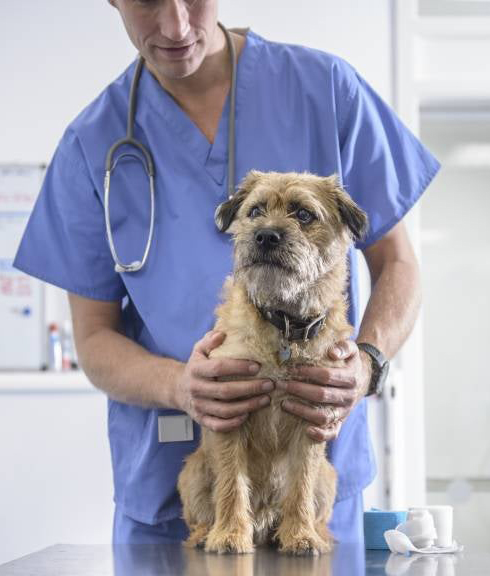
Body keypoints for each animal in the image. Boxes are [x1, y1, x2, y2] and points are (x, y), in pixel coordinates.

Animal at [177, 170, 368, 552]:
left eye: (304, 214)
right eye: (255, 211)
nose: (265, 235)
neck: (284, 324)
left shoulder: (312, 418)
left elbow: (300, 485)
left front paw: (301, 534)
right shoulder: (230, 412)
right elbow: (231, 484)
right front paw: (230, 534)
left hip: (329, 477)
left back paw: (315, 533)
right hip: (192, 472)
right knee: (199, 517)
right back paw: (206, 534)